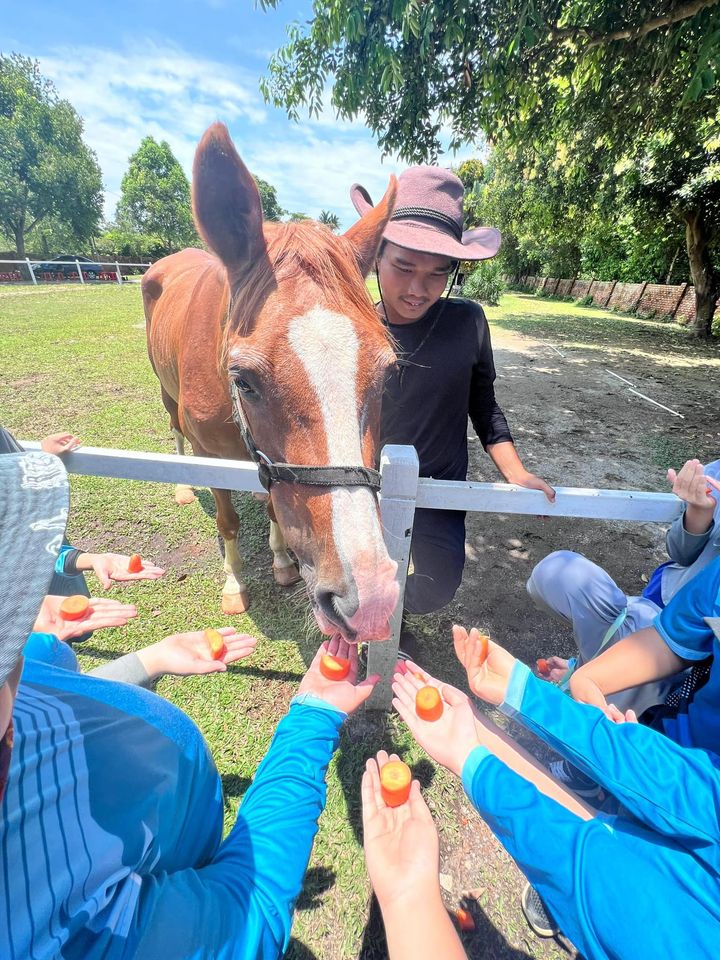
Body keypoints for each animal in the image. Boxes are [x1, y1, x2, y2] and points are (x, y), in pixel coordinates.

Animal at [141, 122, 400, 644]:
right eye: (244, 381)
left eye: (387, 375)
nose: (370, 602)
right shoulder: (210, 454)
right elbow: (229, 520)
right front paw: (234, 584)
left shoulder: (267, 465)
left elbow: (275, 508)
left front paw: (282, 560)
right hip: (166, 394)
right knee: (173, 427)